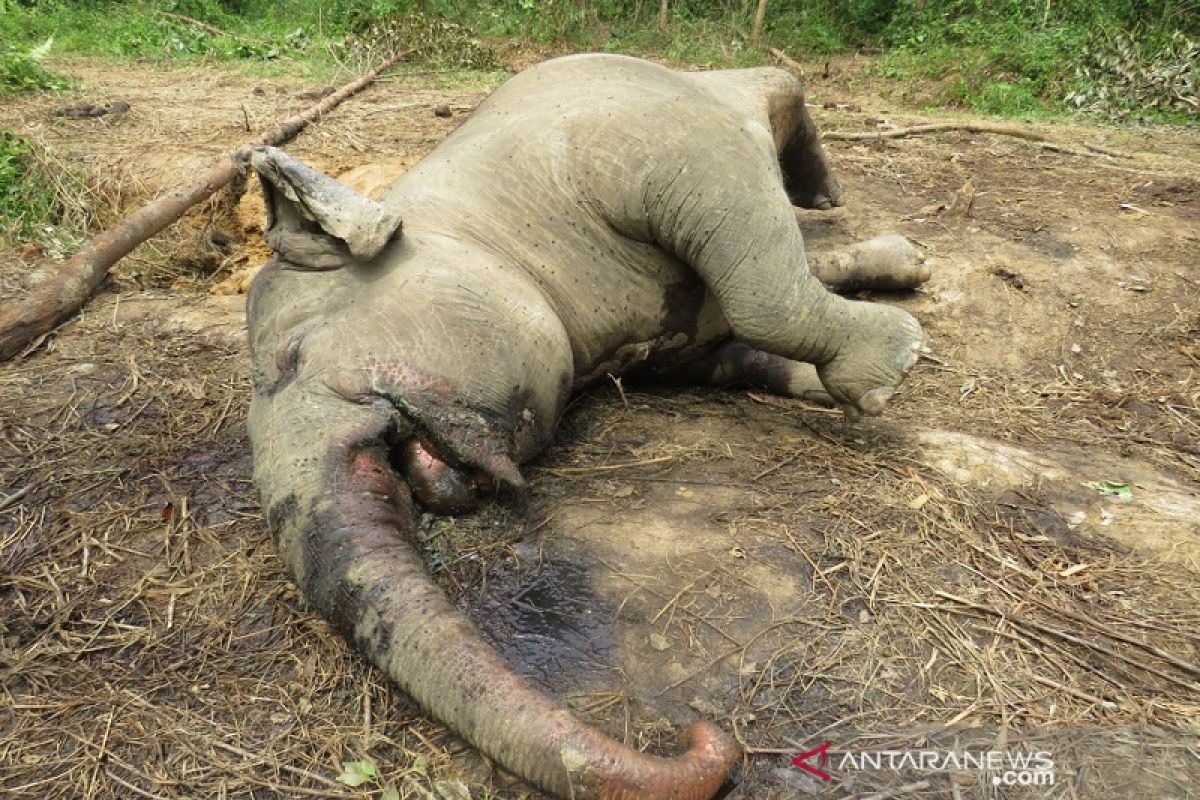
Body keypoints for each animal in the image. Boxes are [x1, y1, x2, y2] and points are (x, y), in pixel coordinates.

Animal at [246, 54, 926, 800]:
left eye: (291, 356)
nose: (699, 733)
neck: (466, 217)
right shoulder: (671, 339)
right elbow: (731, 348)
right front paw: (852, 376)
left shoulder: (645, 154)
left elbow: (762, 296)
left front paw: (893, 367)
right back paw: (907, 260)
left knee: (777, 96)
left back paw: (832, 203)